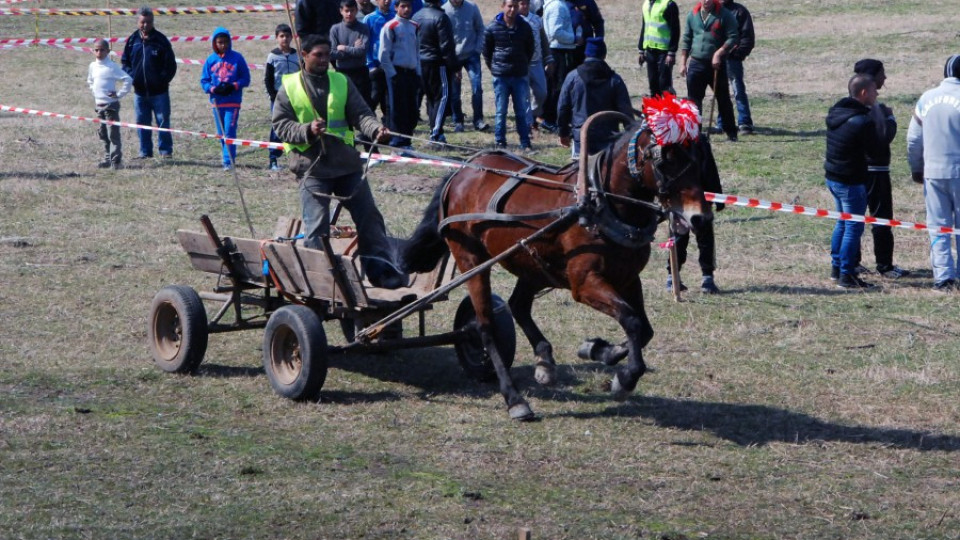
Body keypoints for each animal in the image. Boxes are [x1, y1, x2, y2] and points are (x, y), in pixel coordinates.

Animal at [402, 110, 708, 422]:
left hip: (531, 262)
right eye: (666, 160)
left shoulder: (628, 278)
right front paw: (625, 378)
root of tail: (462, 172)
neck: (600, 204)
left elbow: (644, 329)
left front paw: (599, 351)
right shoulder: (585, 283)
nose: (699, 217)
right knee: (485, 327)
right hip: (471, 260)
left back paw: (544, 361)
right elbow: (632, 321)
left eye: (699, 158)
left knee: (518, 305)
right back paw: (515, 399)